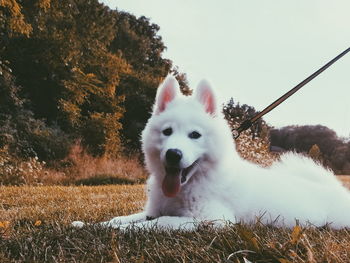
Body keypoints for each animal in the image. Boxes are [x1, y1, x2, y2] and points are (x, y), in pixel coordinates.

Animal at [73, 76, 350, 231]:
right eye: (167, 132)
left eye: (195, 135)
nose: (173, 154)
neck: (190, 186)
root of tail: (336, 188)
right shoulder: (154, 209)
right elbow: (121, 218)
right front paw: (91, 225)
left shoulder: (214, 220)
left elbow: (157, 223)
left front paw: (121, 232)